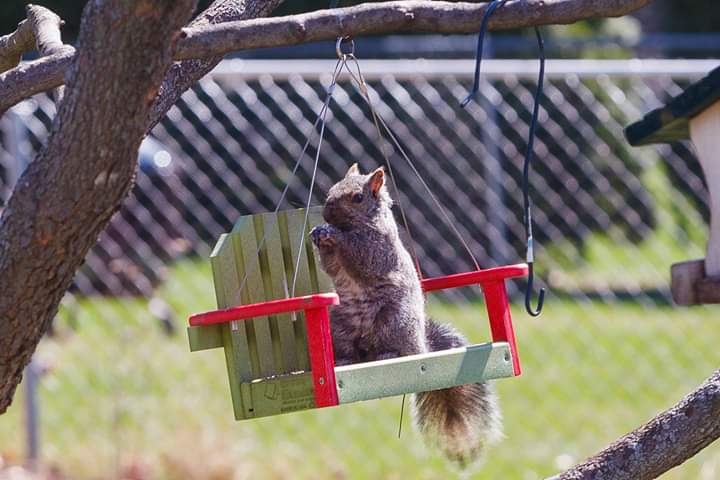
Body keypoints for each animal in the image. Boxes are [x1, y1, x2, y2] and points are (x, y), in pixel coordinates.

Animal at [309, 164, 502, 466]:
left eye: (357, 197)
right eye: (330, 190)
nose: (326, 213)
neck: (356, 225)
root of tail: (424, 347)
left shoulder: (379, 247)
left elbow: (362, 256)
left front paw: (333, 234)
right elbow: (330, 264)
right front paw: (319, 233)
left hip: (394, 321)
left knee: (401, 349)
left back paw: (389, 354)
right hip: (339, 325)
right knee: (351, 350)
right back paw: (344, 359)